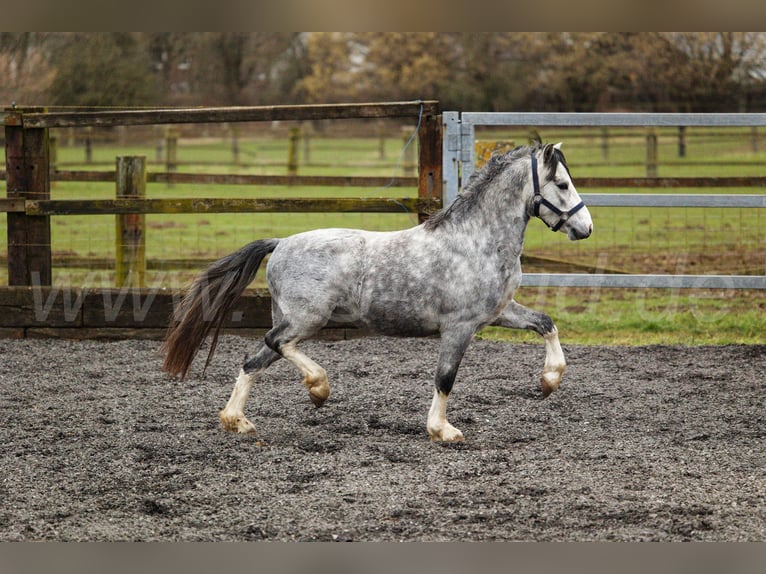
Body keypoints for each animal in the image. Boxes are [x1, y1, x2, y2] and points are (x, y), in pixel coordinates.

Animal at [162, 142, 592, 444]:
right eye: (562, 184)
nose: (586, 229)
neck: (475, 241)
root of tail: (280, 242)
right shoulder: (459, 326)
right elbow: (445, 377)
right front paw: (442, 430)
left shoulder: (498, 312)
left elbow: (546, 323)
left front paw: (548, 381)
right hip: (307, 319)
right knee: (275, 344)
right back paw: (318, 388)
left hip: (294, 320)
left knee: (254, 360)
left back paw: (238, 421)